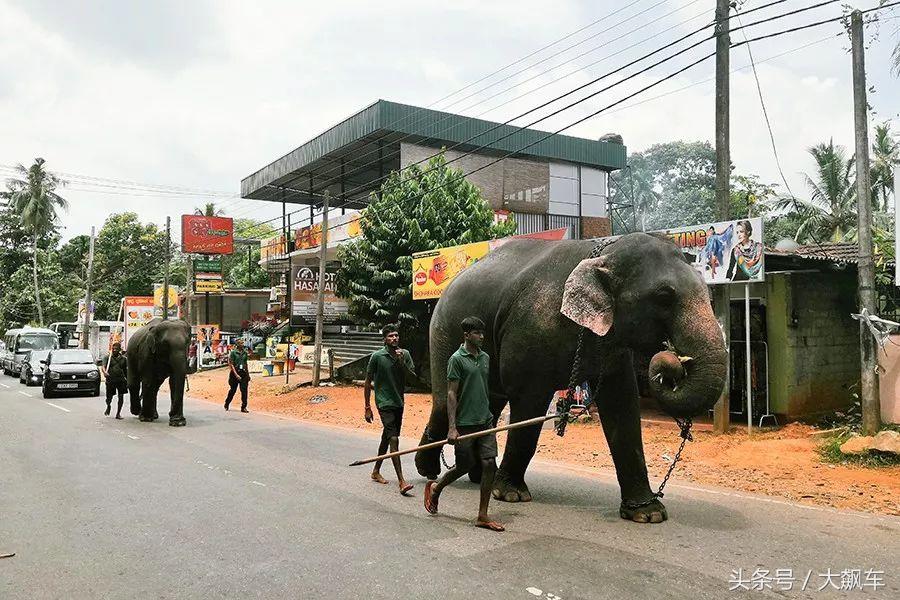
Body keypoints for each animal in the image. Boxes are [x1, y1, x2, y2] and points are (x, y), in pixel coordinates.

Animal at [415, 233, 727, 524]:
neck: (604, 251)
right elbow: (528, 404)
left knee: (488, 403)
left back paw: (477, 476)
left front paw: (647, 513)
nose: (672, 360)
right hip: (444, 332)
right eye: (664, 296)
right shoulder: (529, 336)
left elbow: (623, 406)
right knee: (445, 402)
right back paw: (428, 470)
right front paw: (510, 495)